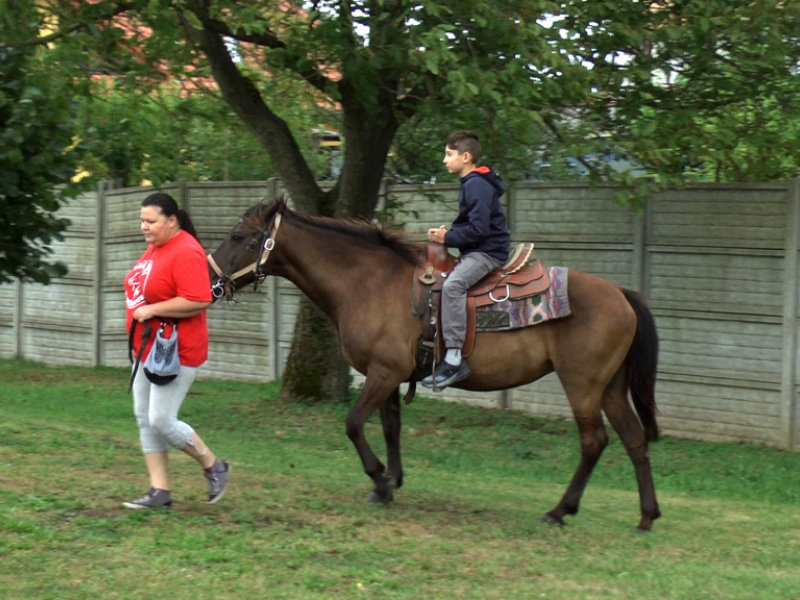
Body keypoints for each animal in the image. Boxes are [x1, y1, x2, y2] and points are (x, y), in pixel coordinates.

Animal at [208, 199, 664, 532]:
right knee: (634, 440)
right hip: (610, 387)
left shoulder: (383, 373)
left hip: (582, 384)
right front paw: (390, 483)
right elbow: (390, 427)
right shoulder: (389, 376)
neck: (369, 283)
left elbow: (354, 424)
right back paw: (646, 515)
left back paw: (559, 511)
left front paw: (379, 479)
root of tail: (621, 294)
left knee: (594, 442)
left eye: (238, 236)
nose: (212, 280)